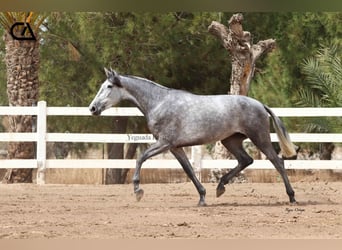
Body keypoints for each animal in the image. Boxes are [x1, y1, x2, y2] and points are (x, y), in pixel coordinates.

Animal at [89, 68, 298, 205]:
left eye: (109, 86)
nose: (92, 108)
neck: (159, 103)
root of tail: (260, 104)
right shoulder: (175, 147)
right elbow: (189, 170)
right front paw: (202, 198)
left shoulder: (164, 143)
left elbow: (140, 158)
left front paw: (137, 190)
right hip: (230, 140)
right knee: (246, 160)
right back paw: (220, 187)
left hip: (259, 138)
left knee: (278, 162)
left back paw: (292, 197)